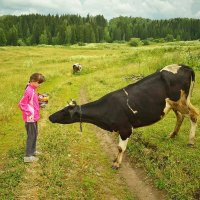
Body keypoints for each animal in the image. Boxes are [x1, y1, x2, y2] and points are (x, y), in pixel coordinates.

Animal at [49, 64, 198, 169]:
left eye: (64, 112)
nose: (50, 117)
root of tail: (185, 66)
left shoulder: (125, 128)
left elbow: (121, 148)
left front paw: (117, 164)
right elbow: (118, 147)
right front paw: (116, 160)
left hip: (182, 101)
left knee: (194, 115)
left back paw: (190, 141)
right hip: (174, 104)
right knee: (181, 116)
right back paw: (172, 135)